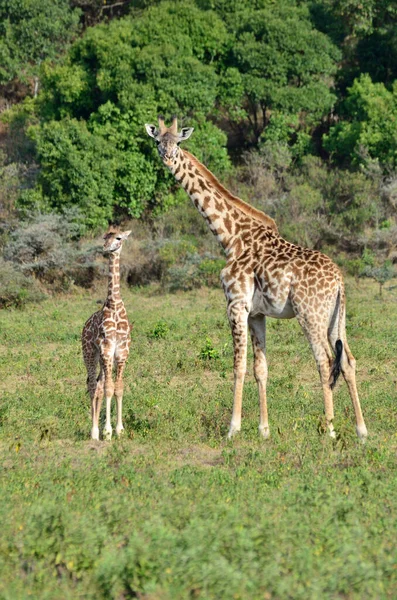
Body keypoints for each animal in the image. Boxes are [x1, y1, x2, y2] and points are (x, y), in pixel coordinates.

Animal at [144, 116, 366, 440]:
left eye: (179, 143)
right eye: (159, 141)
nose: (168, 158)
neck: (231, 237)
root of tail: (338, 281)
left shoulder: (235, 305)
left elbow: (238, 365)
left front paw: (232, 429)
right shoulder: (256, 313)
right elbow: (261, 369)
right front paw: (264, 430)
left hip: (310, 315)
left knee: (325, 361)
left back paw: (330, 429)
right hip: (337, 317)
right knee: (348, 361)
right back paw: (361, 430)